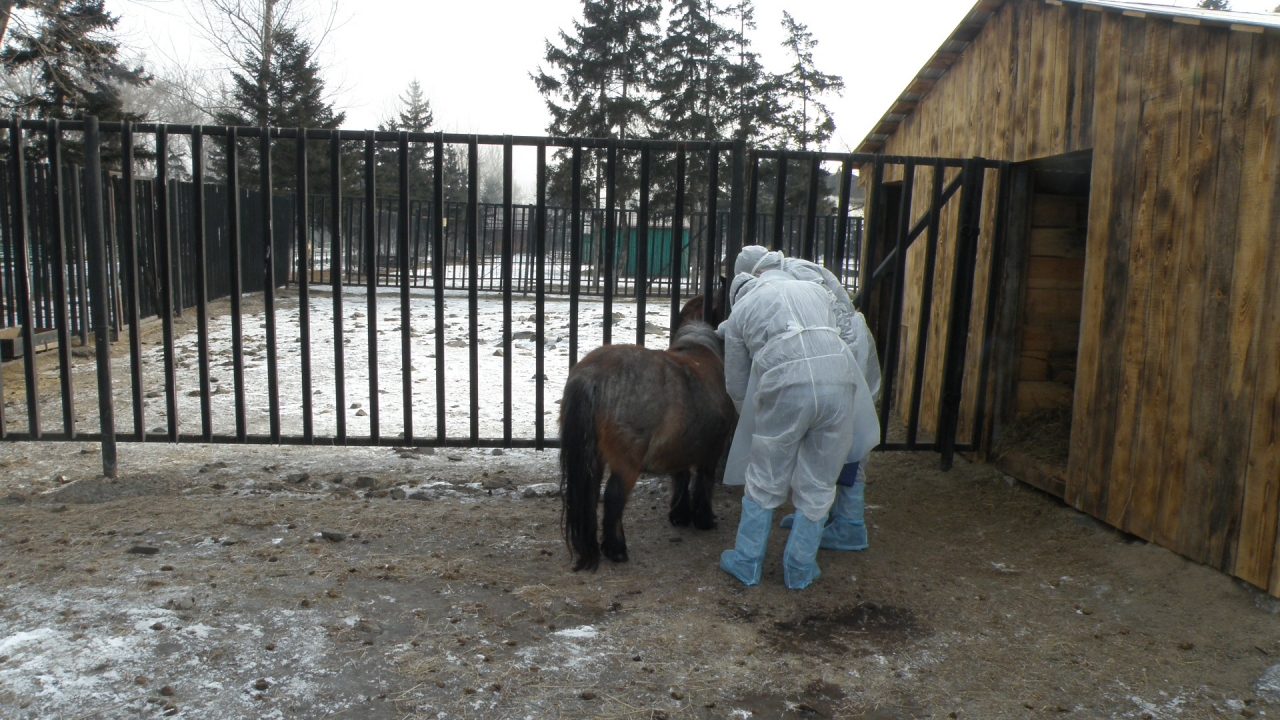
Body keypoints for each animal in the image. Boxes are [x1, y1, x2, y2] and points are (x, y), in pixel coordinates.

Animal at [563, 322, 742, 568]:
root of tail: (593, 375)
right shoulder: (712, 451)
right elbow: (704, 481)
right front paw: (704, 518)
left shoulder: (679, 447)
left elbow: (681, 476)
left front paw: (680, 515)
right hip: (626, 462)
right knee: (613, 496)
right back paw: (616, 549)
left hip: (593, 459)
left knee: (589, 497)